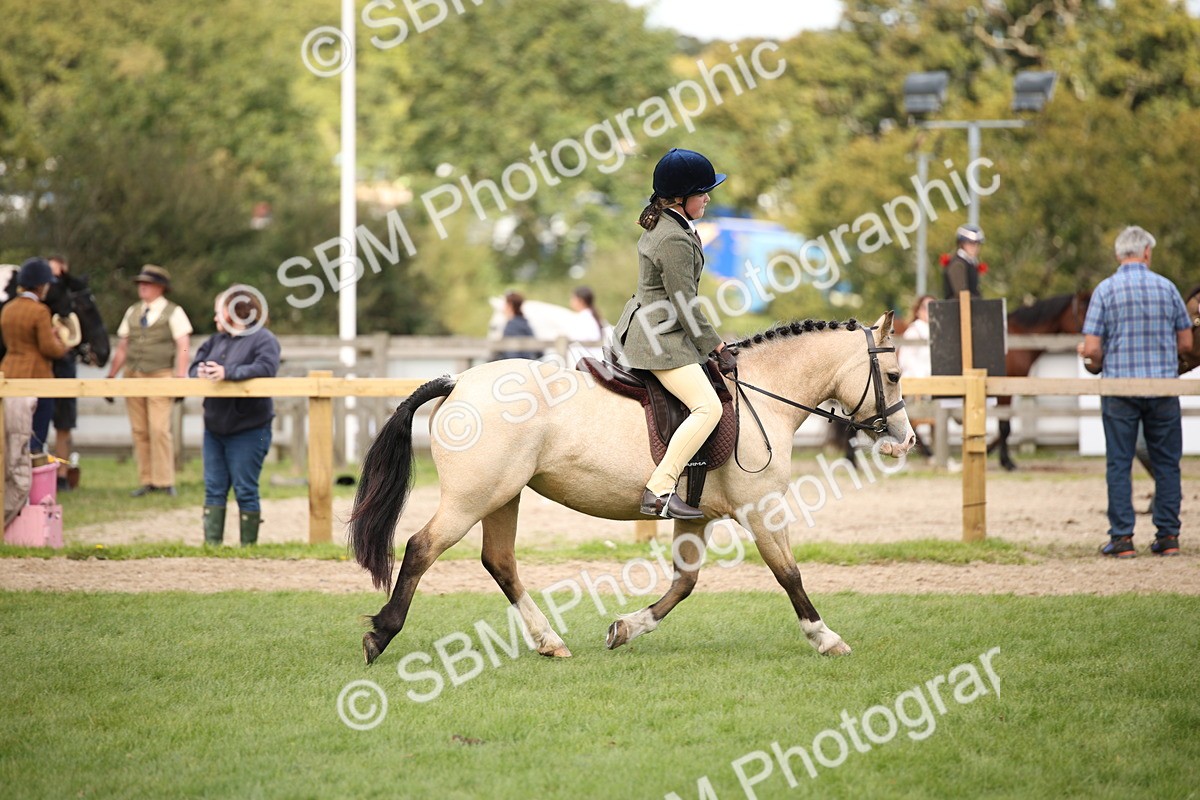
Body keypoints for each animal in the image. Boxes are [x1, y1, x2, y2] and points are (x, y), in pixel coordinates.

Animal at [349, 313, 916, 665]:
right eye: (893, 374)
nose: (906, 440)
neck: (763, 396)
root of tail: (459, 382)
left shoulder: (696, 517)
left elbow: (684, 583)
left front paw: (625, 628)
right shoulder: (762, 509)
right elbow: (789, 574)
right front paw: (825, 637)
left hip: (504, 496)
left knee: (499, 562)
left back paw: (549, 641)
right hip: (473, 498)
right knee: (421, 548)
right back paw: (381, 634)